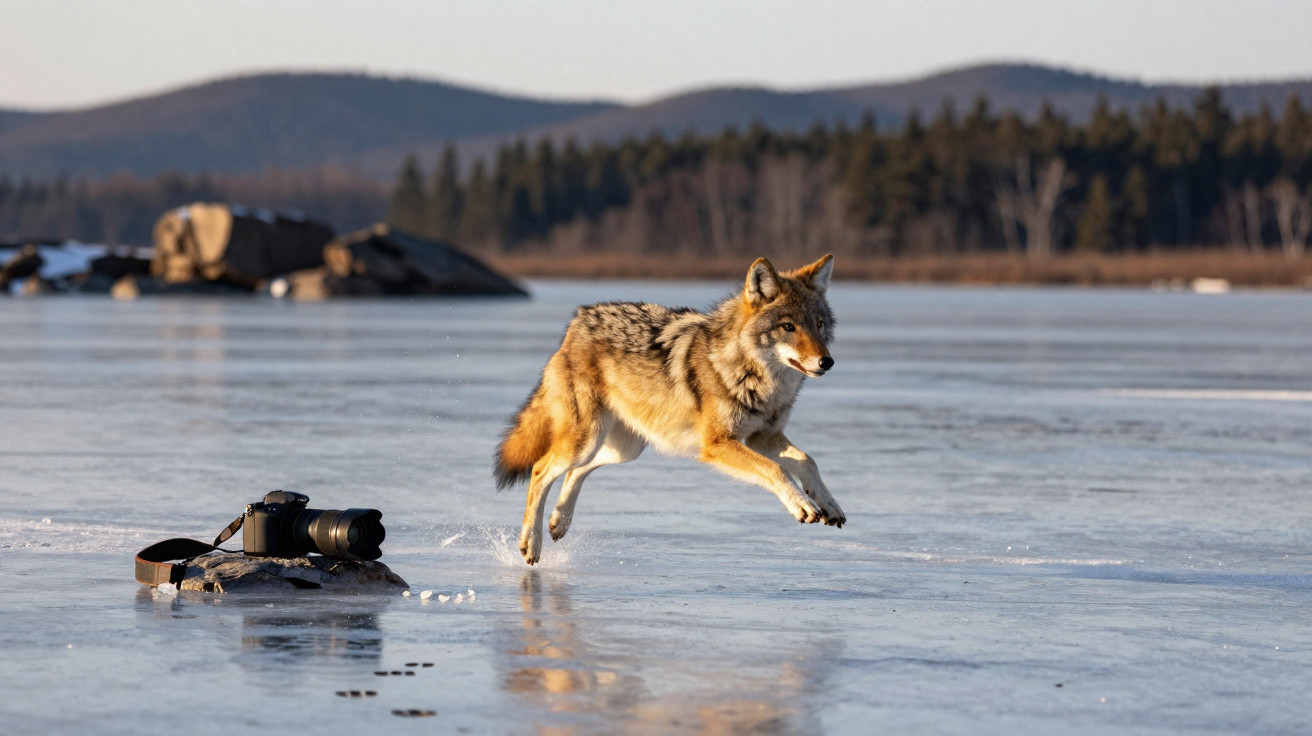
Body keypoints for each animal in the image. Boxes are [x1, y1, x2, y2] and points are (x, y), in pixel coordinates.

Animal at [495, 255, 845, 565]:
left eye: (819, 325)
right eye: (788, 326)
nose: (827, 361)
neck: (759, 380)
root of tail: (575, 325)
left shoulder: (763, 437)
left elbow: (807, 461)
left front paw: (829, 504)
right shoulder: (718, 444)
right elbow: (776, 470)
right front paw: (802, 505)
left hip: (623, 449)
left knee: (576, 471)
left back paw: (559, 522)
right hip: (586, 441)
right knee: (541, 469)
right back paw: (532, 543)